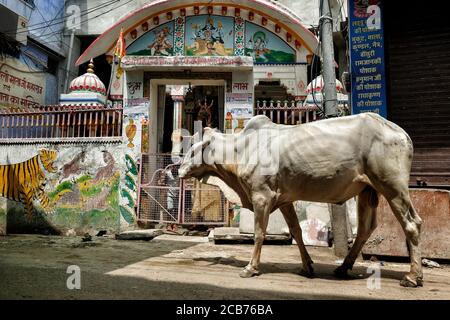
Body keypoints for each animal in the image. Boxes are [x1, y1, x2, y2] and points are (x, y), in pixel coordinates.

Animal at [178, 113, 422, 288]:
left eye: (192, 151)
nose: (177, 170)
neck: (242, 149)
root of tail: (402, 134)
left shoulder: (261, 197)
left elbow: (259, 233)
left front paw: (250, 268)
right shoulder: (284, 200)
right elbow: (296, 231)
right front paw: (307, 267)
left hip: (393, 187)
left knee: (412, 224)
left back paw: (413, 276)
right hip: (367, 191)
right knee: (365, 228)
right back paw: (344, 268)